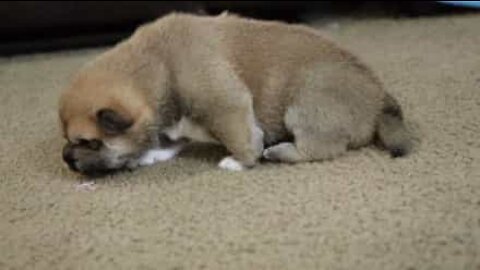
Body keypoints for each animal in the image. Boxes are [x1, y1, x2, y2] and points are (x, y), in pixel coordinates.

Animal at [58, 13, 410, 177]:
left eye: (89, 142)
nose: (65, 158)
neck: (157, 67)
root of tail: (379, 97)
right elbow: (169, 141)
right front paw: (151, 154)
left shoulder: (225, 106)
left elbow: (241, 138)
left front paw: (241, 161)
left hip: (306, 105)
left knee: (321, 148)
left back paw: (280, 152)